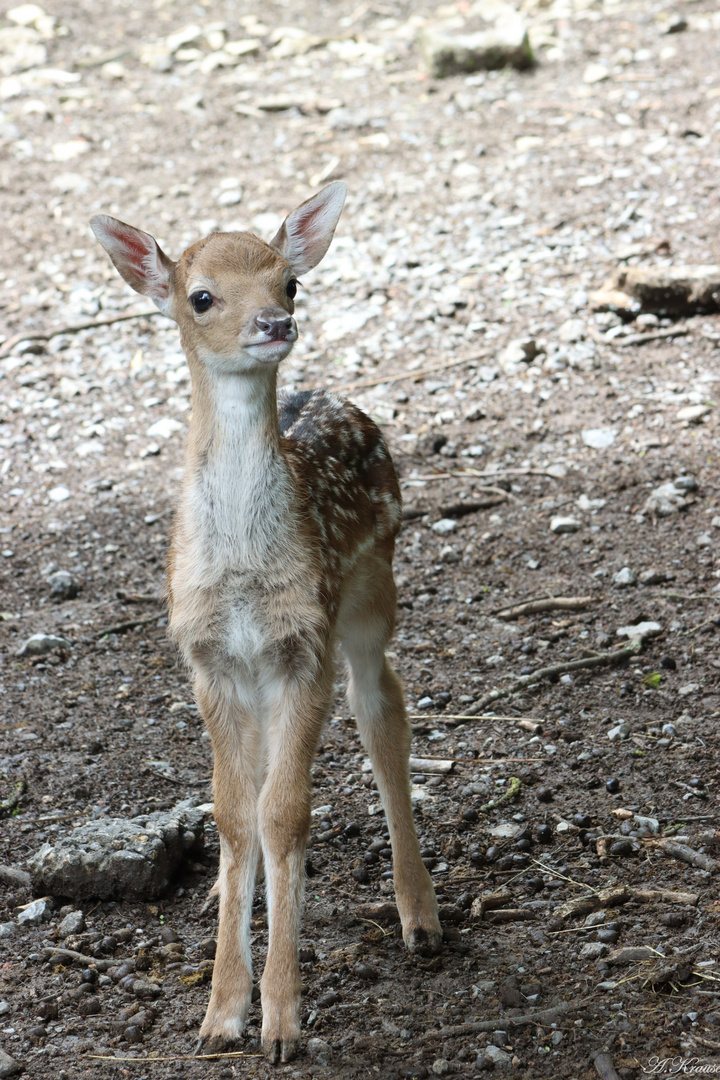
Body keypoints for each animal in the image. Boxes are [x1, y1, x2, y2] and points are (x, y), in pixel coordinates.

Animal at [89, 183, 440, 1062]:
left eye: (291, 281)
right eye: (200, 295)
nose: (275, 323)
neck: (245, 577)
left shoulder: (299, 644)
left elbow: (284, 813)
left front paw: (282, 1022)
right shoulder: (208, 658)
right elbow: (233, 814)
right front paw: (220, 1016)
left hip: (371, 592)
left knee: (383, 713)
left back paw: (421, 918)